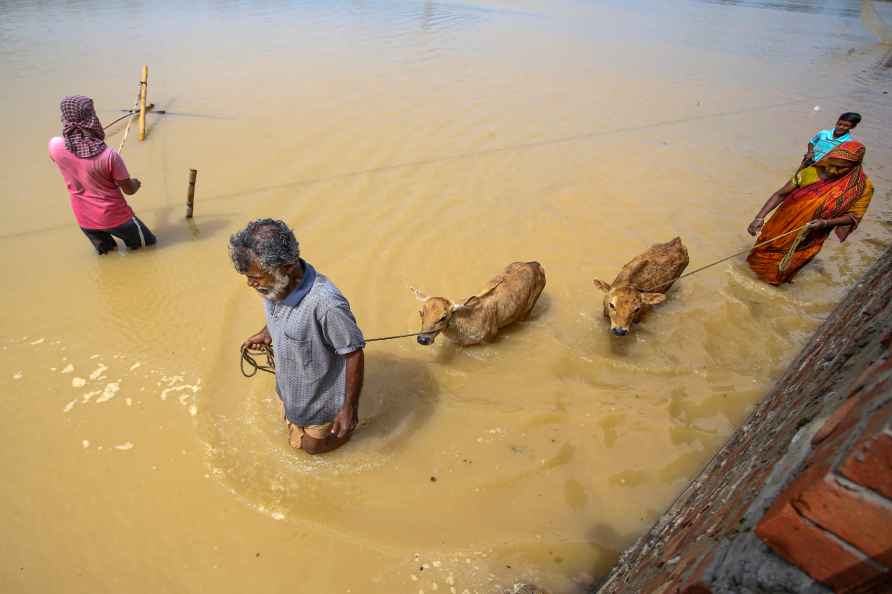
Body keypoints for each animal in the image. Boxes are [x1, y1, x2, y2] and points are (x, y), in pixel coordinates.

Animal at [410, 260, 544, 346]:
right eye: (421, 312)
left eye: (443, 316)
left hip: (529, 307)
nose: (423, 339)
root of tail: (537, 264)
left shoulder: (491, 336)